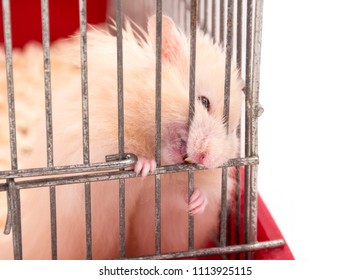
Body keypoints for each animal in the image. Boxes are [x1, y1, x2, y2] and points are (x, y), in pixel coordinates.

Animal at [0, 14, 243, 260]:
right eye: (204, 101)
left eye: (233, 129)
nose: (206, 160)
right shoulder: (93, 151)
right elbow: (123, 159)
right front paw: (144, 166)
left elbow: (183, 200)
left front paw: (196, 201)